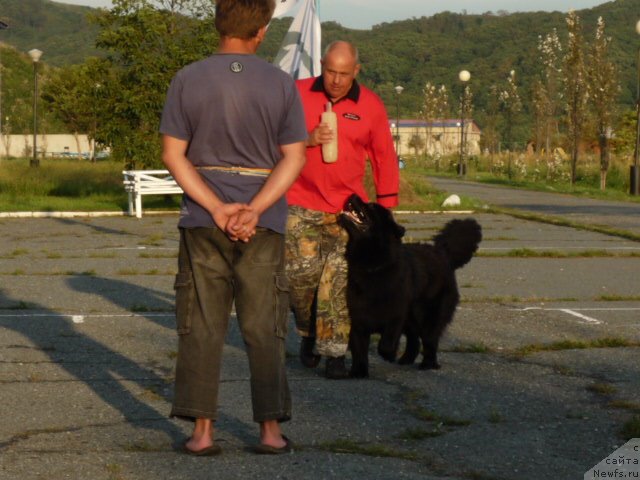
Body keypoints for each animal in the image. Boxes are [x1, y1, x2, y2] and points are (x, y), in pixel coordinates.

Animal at [340, 193, 480, 376]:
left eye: (370, 206)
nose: (353, 195)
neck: (373, 266)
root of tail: (443, 253)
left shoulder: (396, 315)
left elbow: (386, 343)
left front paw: (389, 355)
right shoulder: (358, 319)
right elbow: (359, 349)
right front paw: (358, 373)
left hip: (429, 316)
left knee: (430, 340)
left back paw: (428, 364)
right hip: (413, 318)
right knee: (415, 339)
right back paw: (406, 359)